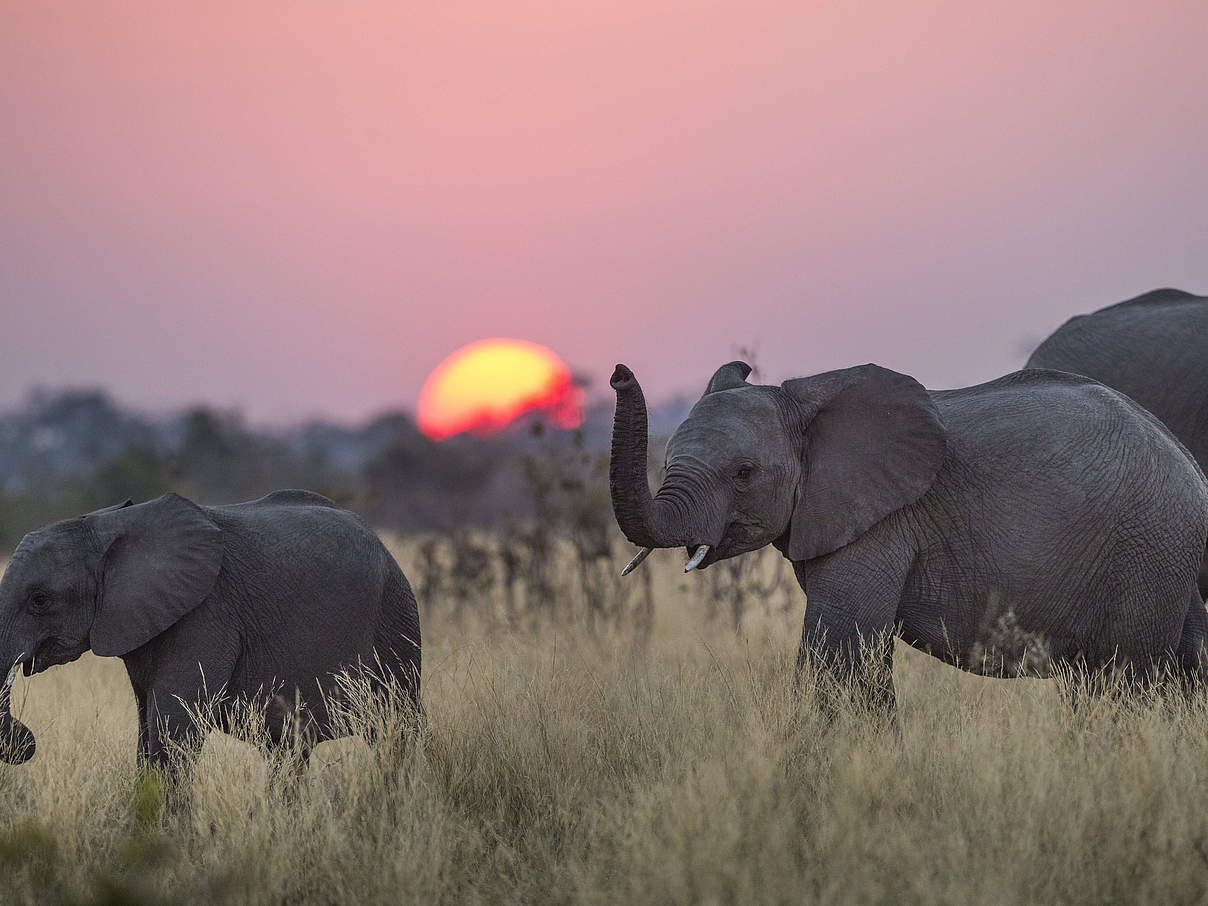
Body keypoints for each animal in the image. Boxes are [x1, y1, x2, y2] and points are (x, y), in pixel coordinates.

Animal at [0, 492, 422, 777]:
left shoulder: (206, 615)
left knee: (396, 730)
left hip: (395, 621)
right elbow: (146, 732)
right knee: (290, 751)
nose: (28, 742)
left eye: (39, 600)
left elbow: (171, 732)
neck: (111, 526)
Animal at [608, 357, 1208, 705]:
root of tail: (1191, 468)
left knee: (1117, 682)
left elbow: (840, 657)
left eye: (744, 473)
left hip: (1147, 551)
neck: (801, 400)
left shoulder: (880, 524)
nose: (618, 372)